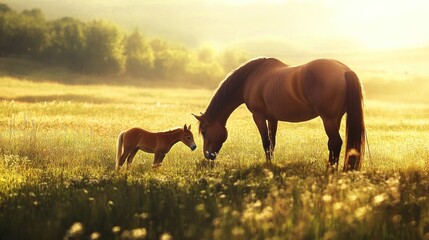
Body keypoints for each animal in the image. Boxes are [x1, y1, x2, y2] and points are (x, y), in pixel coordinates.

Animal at [194, 57, 364, 171]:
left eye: (204, 131)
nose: (208, 155)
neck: (252, 76)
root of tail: (344, 70)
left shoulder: (258, 116)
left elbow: (266, 142)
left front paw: (268, 165)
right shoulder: (272, 118)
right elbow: (272, 141)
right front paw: (272, 163)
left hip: (328, 119)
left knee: (336, 142)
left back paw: (330, 170)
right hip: (336, 119)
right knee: (333, 144)